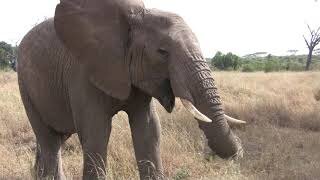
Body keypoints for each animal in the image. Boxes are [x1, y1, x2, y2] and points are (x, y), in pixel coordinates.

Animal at [16, 0, 245, 179]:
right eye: (162, 52)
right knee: (49, 140)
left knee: (57, 138)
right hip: (25, 85)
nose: (239, 153)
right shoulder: (83, 72)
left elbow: (149, 130)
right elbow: (96, 133)